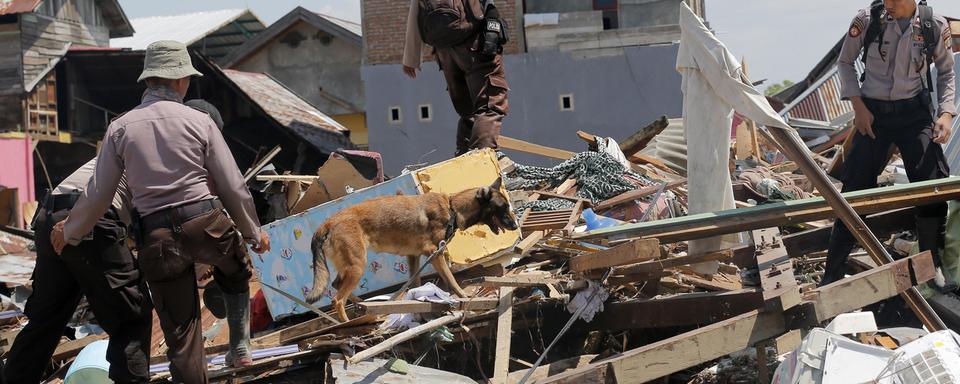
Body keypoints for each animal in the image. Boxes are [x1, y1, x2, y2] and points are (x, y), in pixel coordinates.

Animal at [306, 179, 516, 320]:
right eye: (503, 207)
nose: (514, 226)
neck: (452, 208)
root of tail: (327, 223)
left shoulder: (413, 256)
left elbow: (415, 283)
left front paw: (416, 301)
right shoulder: (436, 254)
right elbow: (451, 279)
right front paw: (463, 297)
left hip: (350, 265)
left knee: (336, 284)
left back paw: (363, 304)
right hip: (357, 265)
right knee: (337, 299)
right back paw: (348, 323)